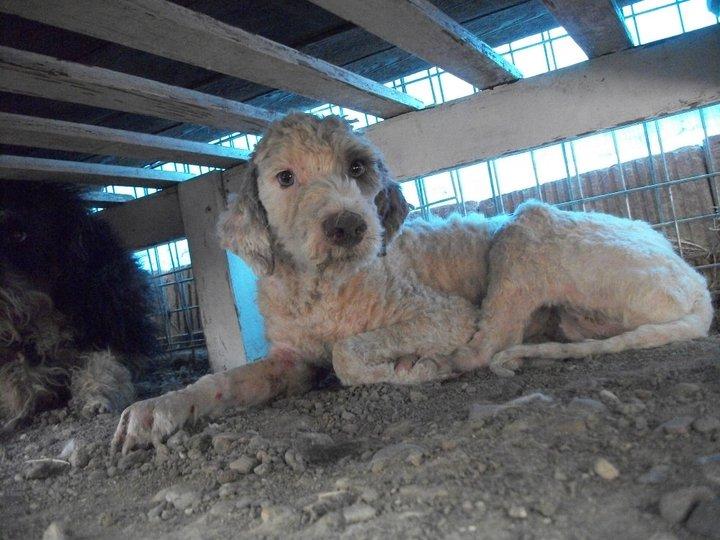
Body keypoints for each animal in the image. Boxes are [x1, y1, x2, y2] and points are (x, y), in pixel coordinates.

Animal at [109, 113, 712, 452]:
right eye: (285, 178)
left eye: (357, 168)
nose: (349, 225)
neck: (322, 288)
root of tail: (695, 283)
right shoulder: (288, 359)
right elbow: (224, 382)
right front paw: (157, 409)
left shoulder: (441, 314)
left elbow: (349, 353)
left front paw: (401, 367)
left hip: (525, 227)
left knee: (487, 343)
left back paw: (432, 367)